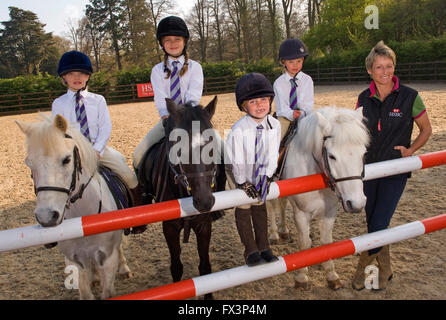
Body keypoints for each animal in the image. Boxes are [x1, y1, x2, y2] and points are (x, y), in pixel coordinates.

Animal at [17, 115, 132, 300]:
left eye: (66, 159)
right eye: (29, 163)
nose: (46, 217)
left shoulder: (108, 259)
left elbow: (107, 292)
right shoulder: (74, 259)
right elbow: (85, 292)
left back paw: (123, 269)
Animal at [138, 97, 225, 300]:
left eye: (212, 149)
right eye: (179, 151)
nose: (204, 202)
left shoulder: (204, 225)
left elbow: (205, 268)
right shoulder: (169, 227)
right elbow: (176, 267)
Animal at [268, 107, 370, 290]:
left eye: (364, 153)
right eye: (332, 156)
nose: (356, 203)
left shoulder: (330, 211)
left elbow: (326, 243)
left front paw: (331, 276)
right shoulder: (301, 213)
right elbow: (304, 243)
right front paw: (301, 278)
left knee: (282, 203)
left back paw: (284, 231)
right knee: (272, 206)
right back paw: (274, 235)